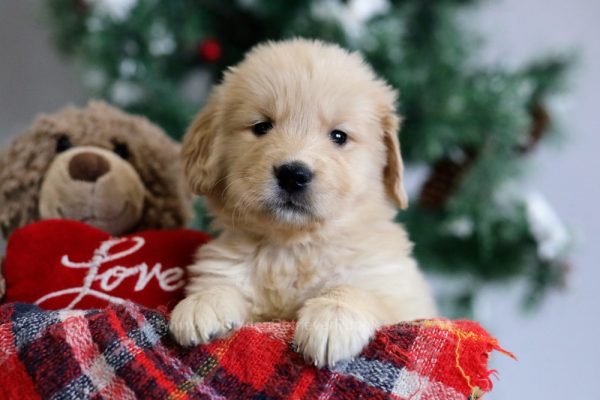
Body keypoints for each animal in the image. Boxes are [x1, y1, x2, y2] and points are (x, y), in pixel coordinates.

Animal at [170, 39, 436, 368]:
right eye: (262, 127)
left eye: (339, 136)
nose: (292, 174)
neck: (293, 249)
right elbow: (222, 282)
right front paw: (201, 303)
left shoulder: (397, 292)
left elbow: (356, 289)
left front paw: (332, 320)